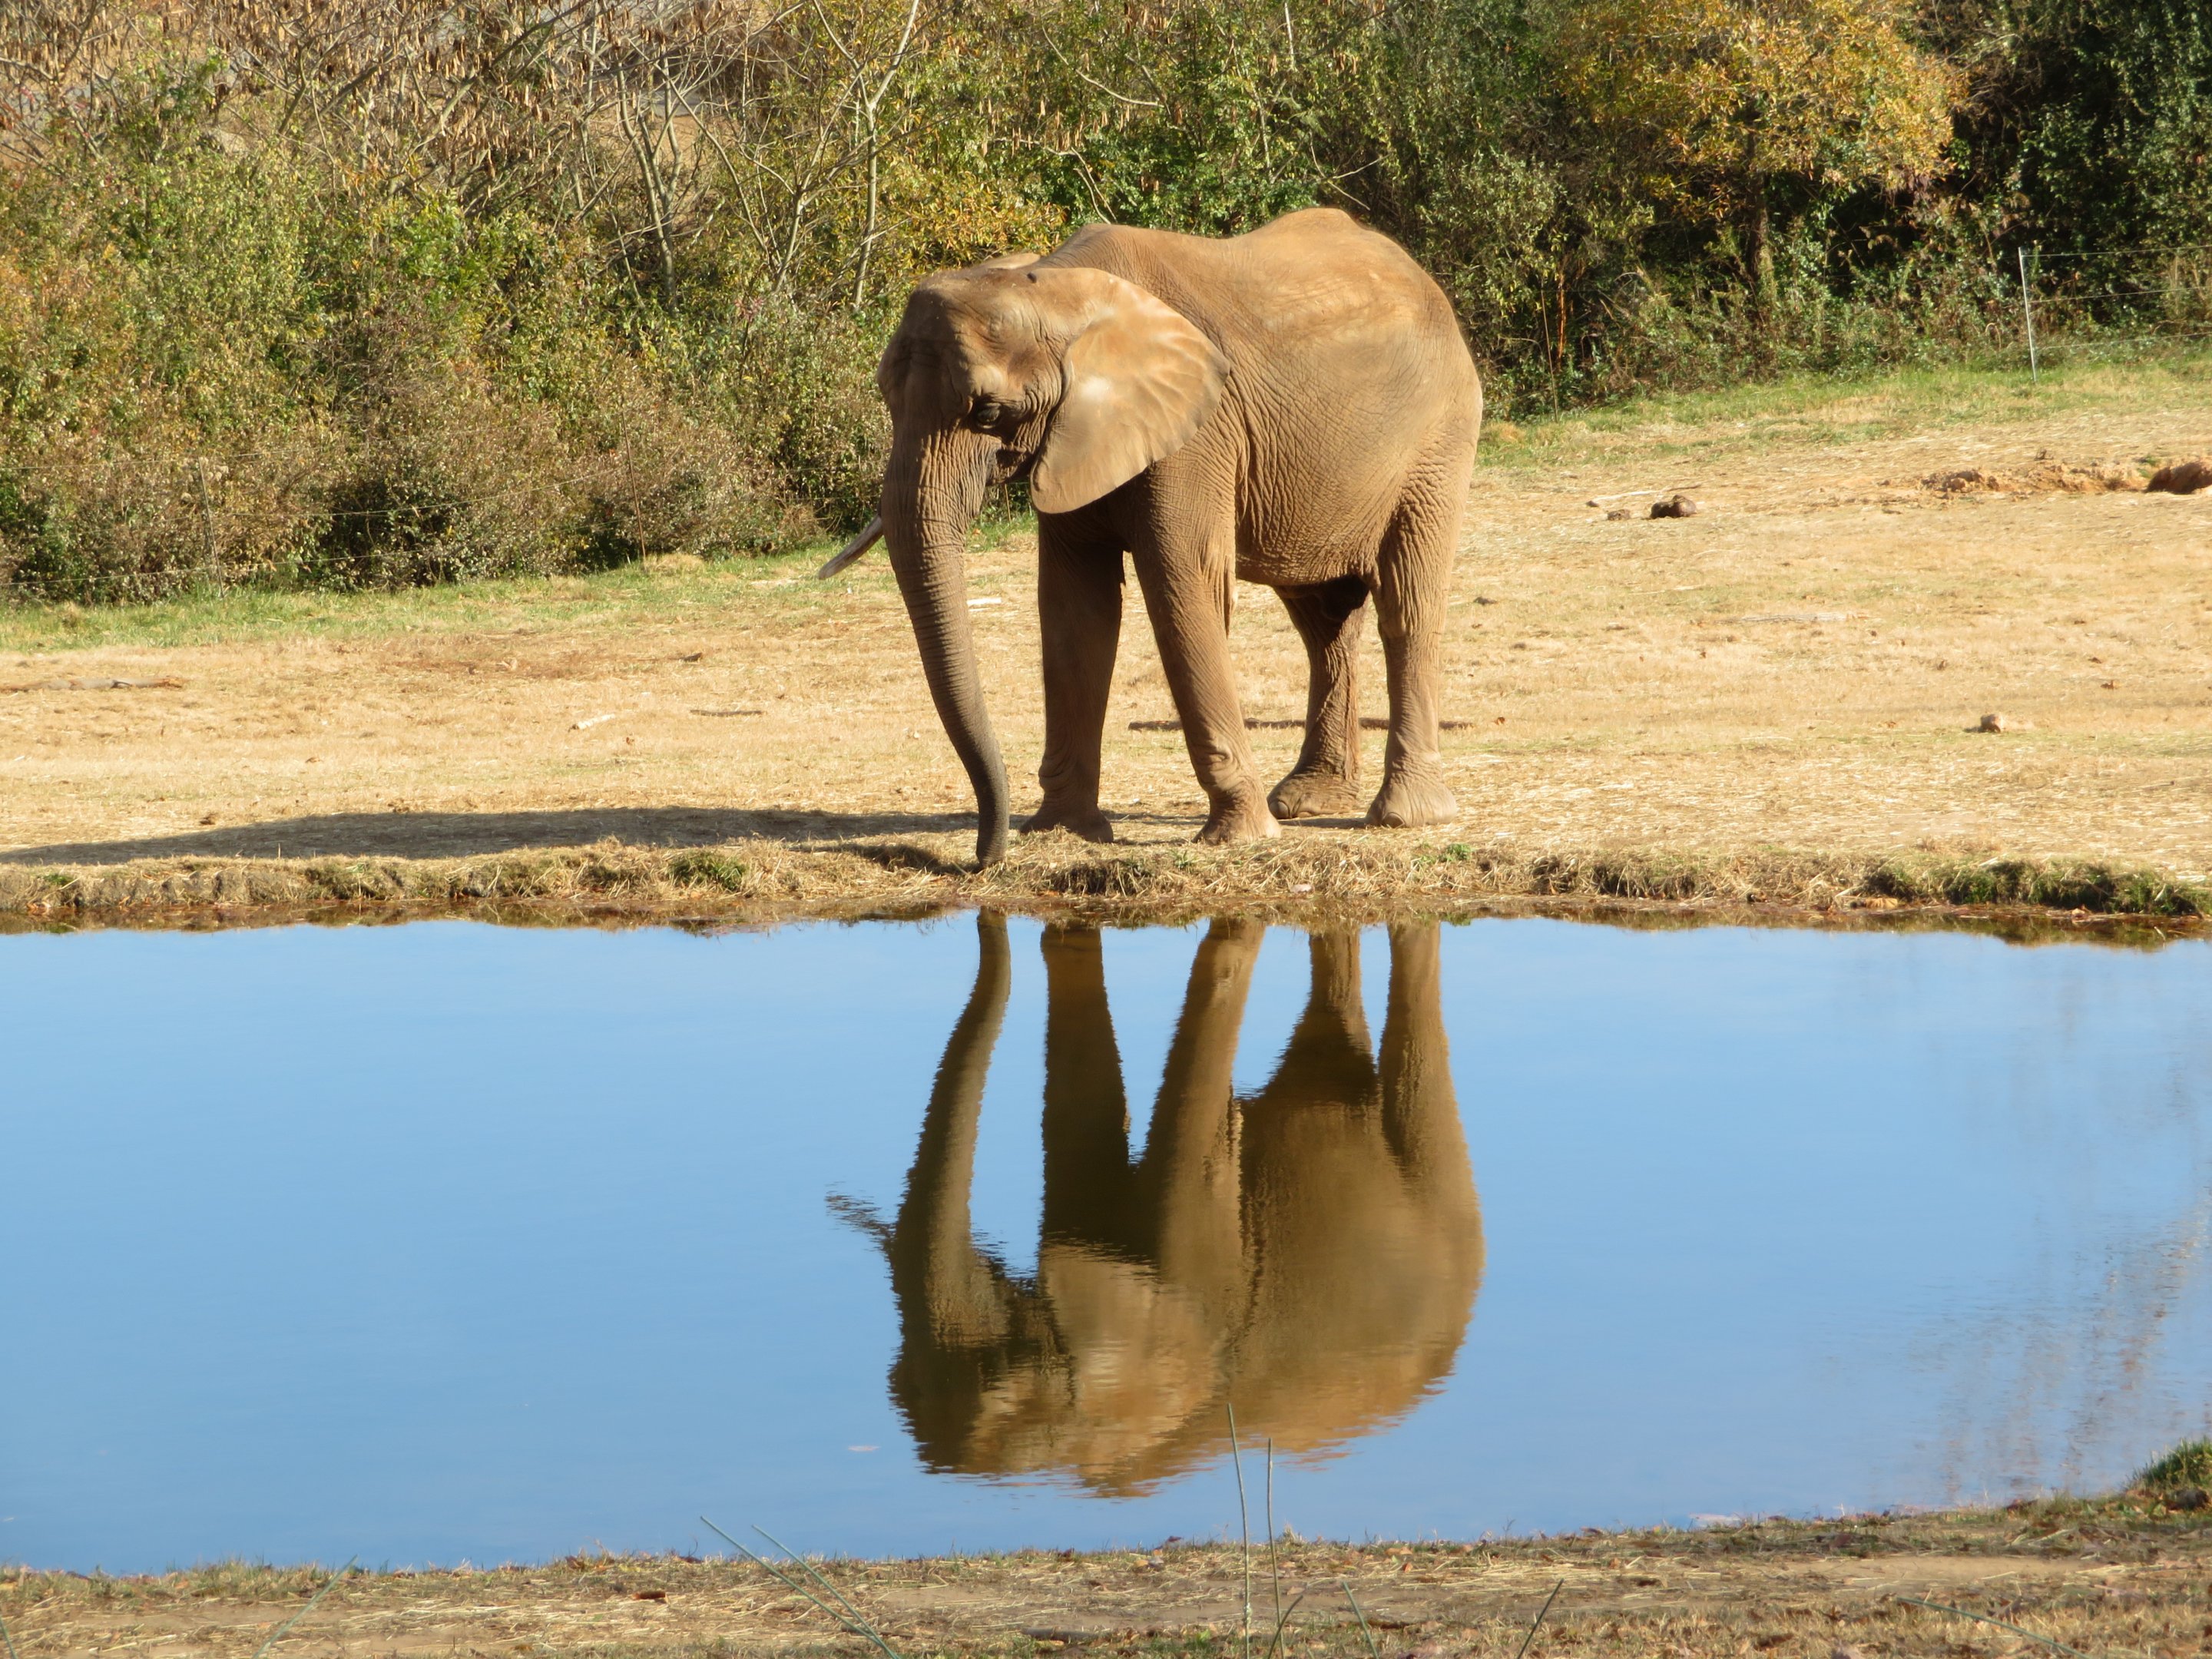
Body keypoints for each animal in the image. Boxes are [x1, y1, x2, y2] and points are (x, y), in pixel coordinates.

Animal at [858, 207, 1482, 863]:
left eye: (985, 413)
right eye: (888, 399)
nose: (983, 858)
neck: (1055, 286)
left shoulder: (1198, 434)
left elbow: (1183, 584)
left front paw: (1239, 835)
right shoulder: (1075, 435)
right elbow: (1075, 606)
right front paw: (1064, 830)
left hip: (1438, 439)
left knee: (1407, 605)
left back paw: (1404, 816)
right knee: (1324, 621)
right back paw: (1306, 801)